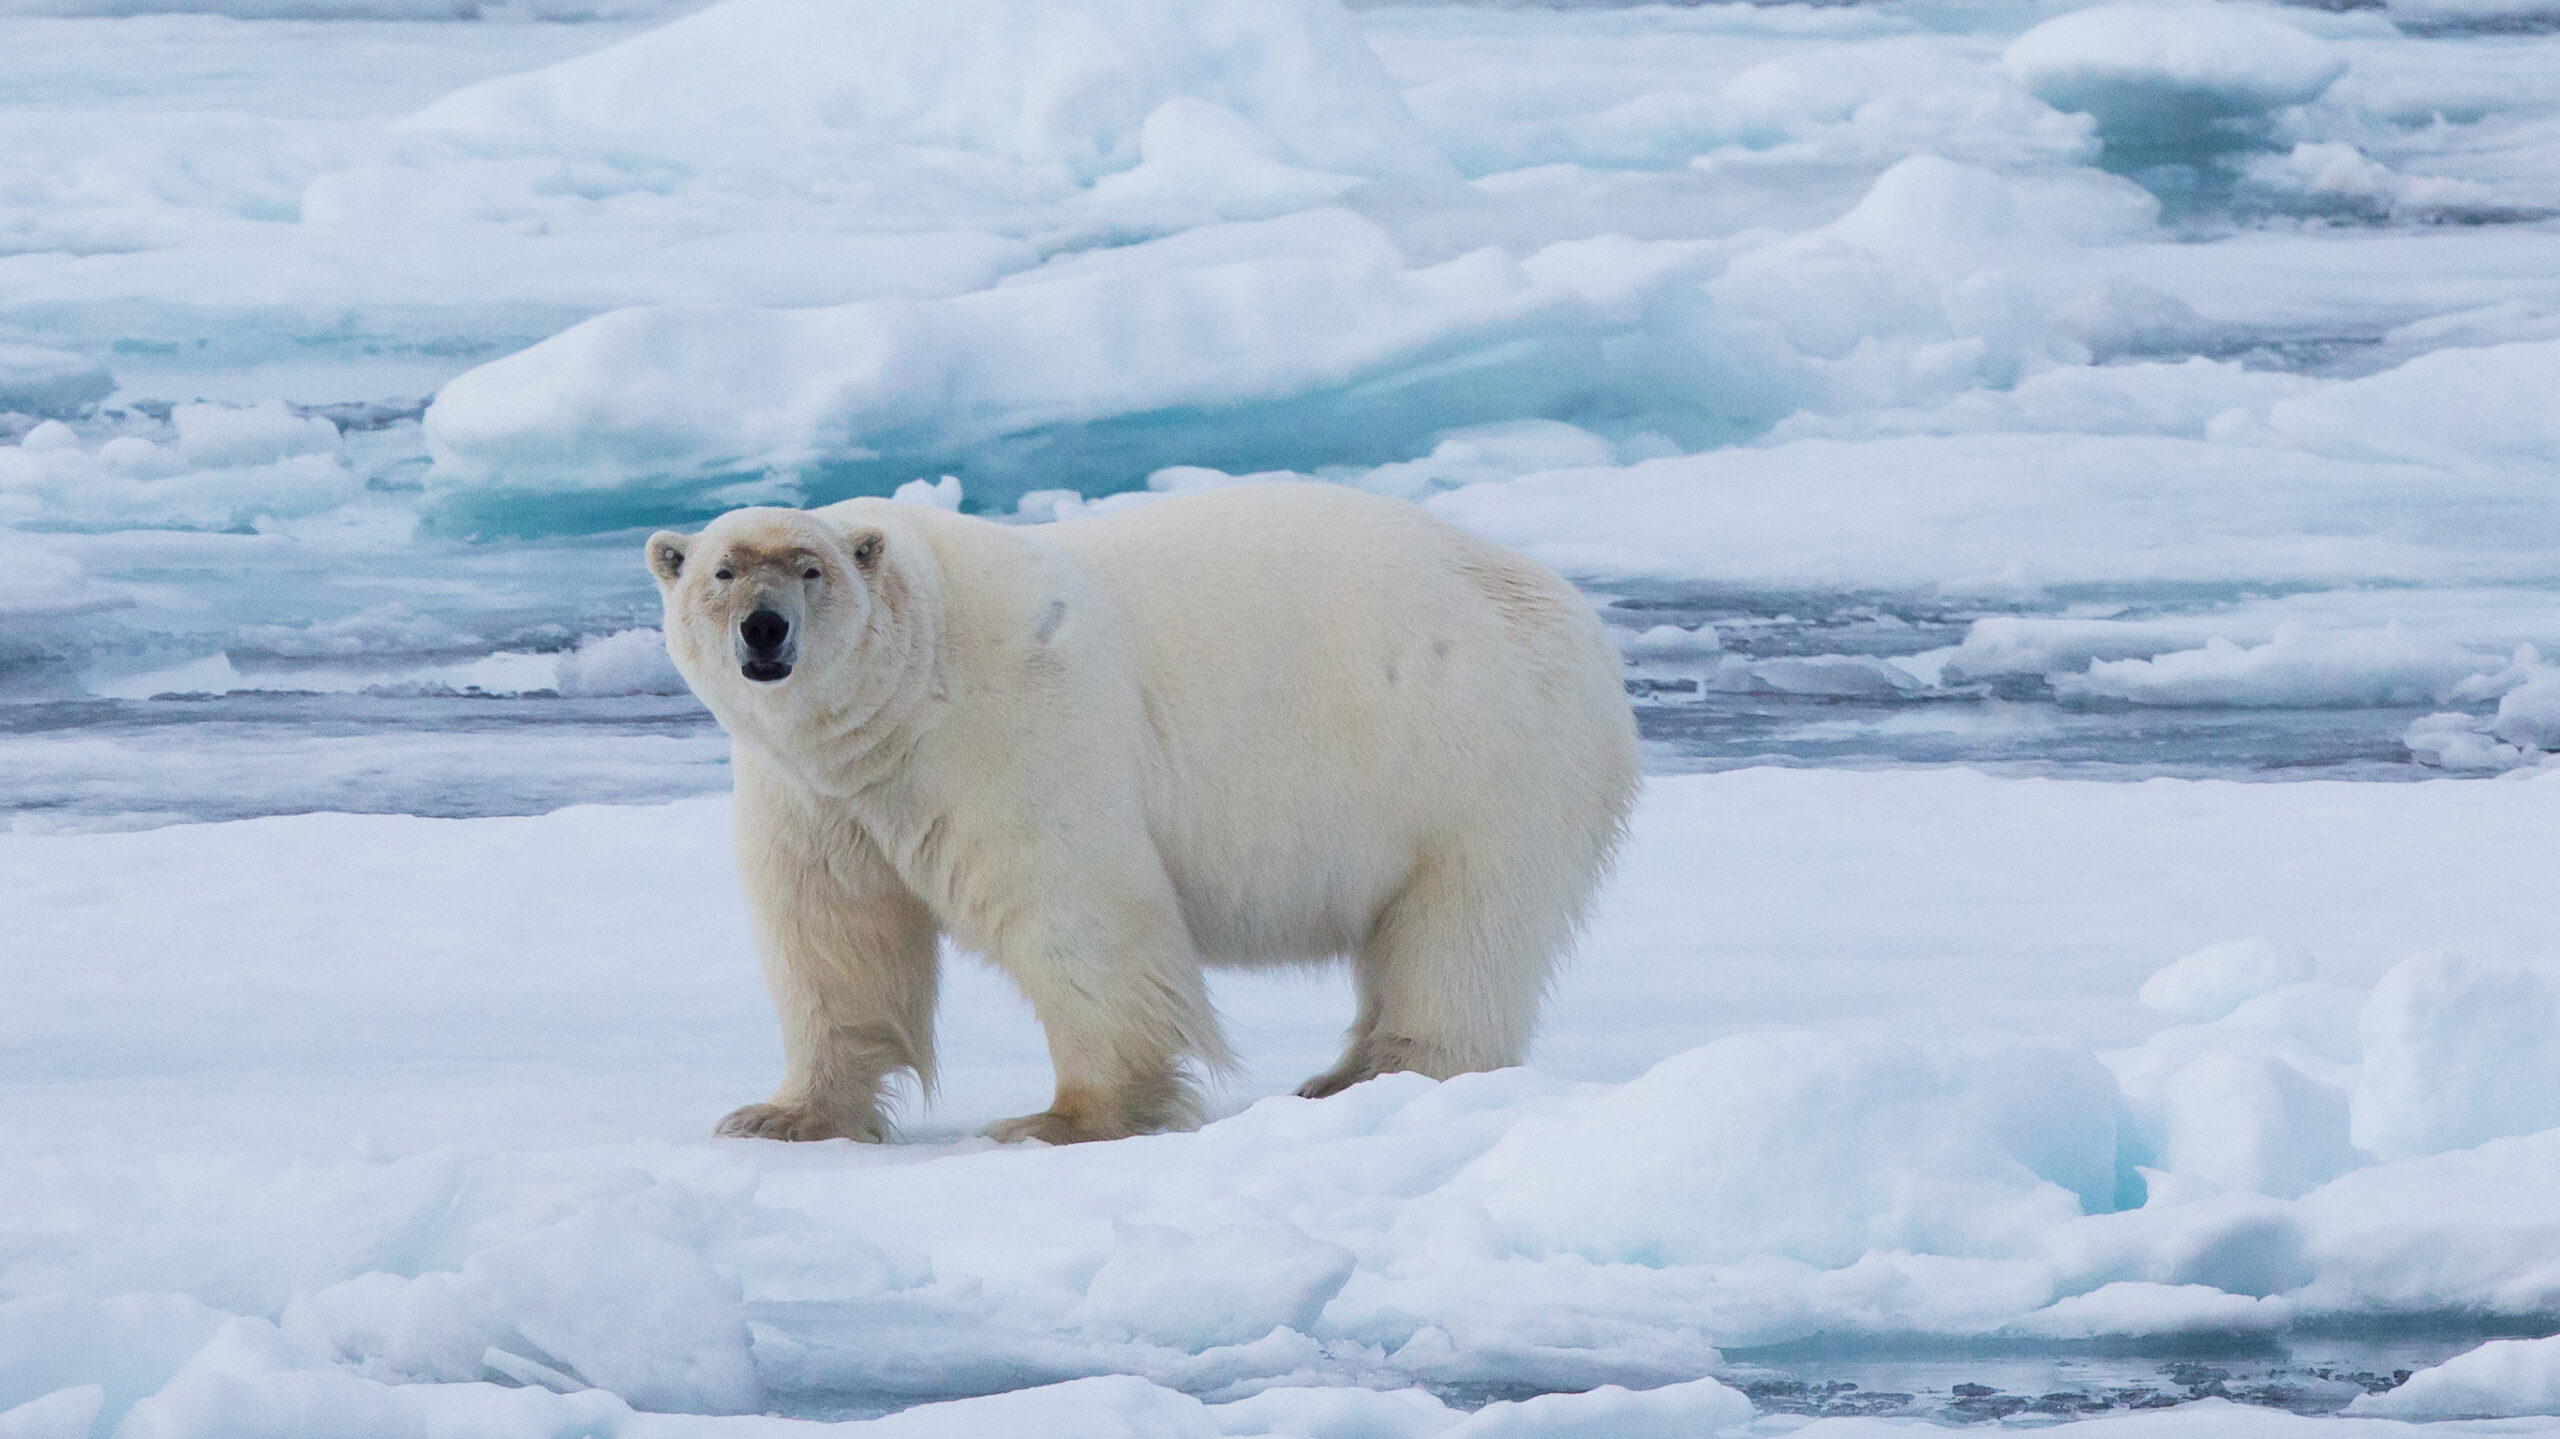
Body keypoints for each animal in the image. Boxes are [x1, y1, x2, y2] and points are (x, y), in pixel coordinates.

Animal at [648, 481, 1640, 1145]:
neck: (915, 681)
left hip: (1481, 764)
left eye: (808, 568)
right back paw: (1340, 1075)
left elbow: (1077, 916)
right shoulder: (816, 793)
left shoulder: (1012, 735)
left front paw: (1063, 1118)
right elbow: (832, 935)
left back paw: (1390, 1072)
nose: (764, 629)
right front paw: (780, 1114)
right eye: (721, 569)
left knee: (1461, 931)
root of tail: (1582, 622)